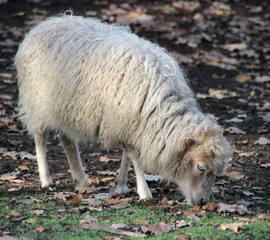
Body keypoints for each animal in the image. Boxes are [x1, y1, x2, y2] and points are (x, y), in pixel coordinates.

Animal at [14, 15, 232, 206]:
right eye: (201, 167)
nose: (203, 203)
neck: (161, 106)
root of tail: (45, 24)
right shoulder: (127, 120)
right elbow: (135, 156)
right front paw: (144, 192)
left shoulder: (130, 123)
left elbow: (127, 155)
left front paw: (121, 185)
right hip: (39, 100)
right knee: (40, 137)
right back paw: (46, 179)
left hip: (67, 108)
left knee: (67, 139)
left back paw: (81, 179)